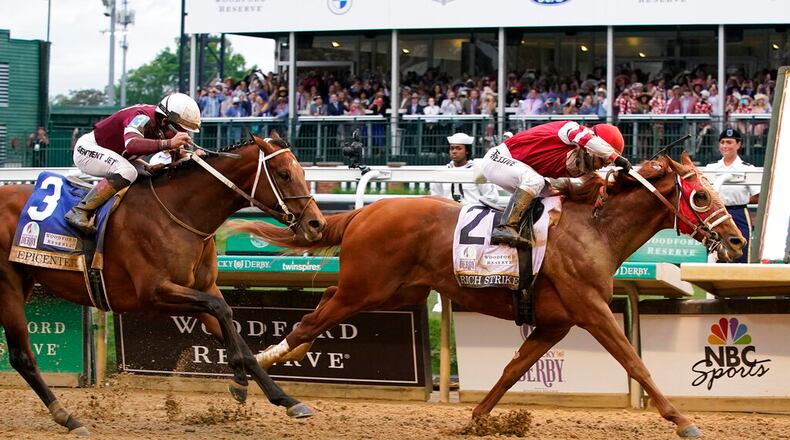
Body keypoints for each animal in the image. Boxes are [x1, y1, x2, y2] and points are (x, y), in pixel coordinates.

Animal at [0, 135, 326, 436]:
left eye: (302, 172)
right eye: (284, 174)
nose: (317, 224)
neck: (179, 213)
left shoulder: (203, 289)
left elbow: (232, 328)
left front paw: (283, 398)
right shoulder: (155, 293)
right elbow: (221, 311)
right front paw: (240, 381)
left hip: (24, 281)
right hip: (8, 286)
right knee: (22, 357)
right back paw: (69, 418)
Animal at [230, 152, 746, 438]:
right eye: (701, 197)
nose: (738, 241)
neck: (594, 228)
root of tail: (365, 211)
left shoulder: (556, 322)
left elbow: (513, 369)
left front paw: (477, 417)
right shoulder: (592, 310)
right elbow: (636, 363)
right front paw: (682, 420)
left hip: (389, 292)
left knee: (316, 317)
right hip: (366, 288)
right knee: (308, 322)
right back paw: (259, 372)